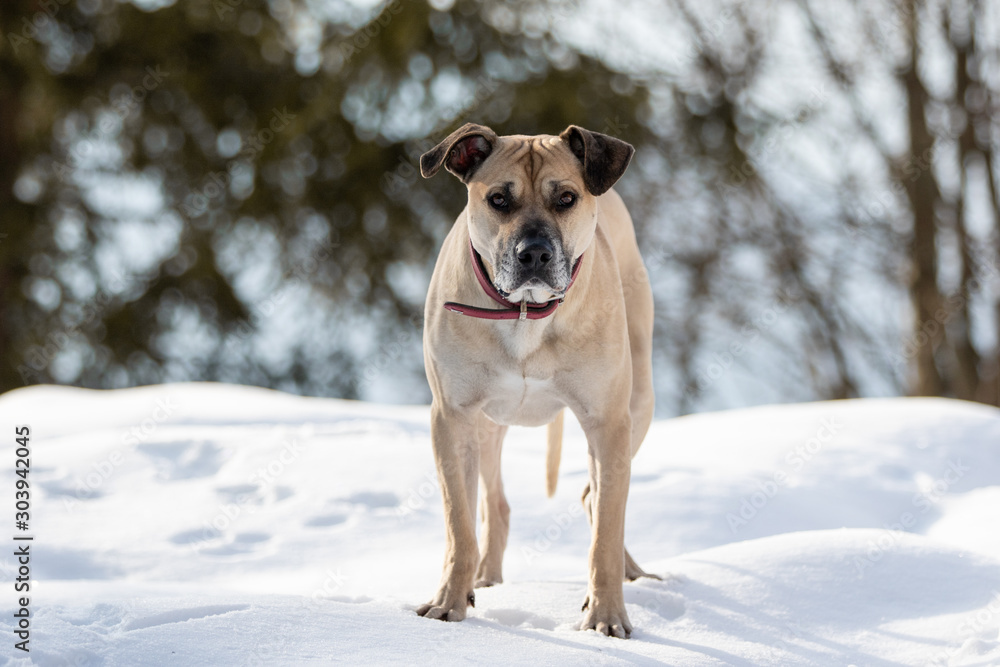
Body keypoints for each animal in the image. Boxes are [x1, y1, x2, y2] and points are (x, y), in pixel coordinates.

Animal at [414, 122, 656, 640]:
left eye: (565, 197)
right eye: (499, 199)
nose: (535, 253)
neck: (525, 312)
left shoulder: (608, 422)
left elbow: (606, 531)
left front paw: (606, 616)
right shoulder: (453, 417)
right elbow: (459, 524)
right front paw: (449, 603)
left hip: (638, 404)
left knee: (596, 499)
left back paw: (630, 573)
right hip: (487, 426)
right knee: (496, 506)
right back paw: (483, 579)